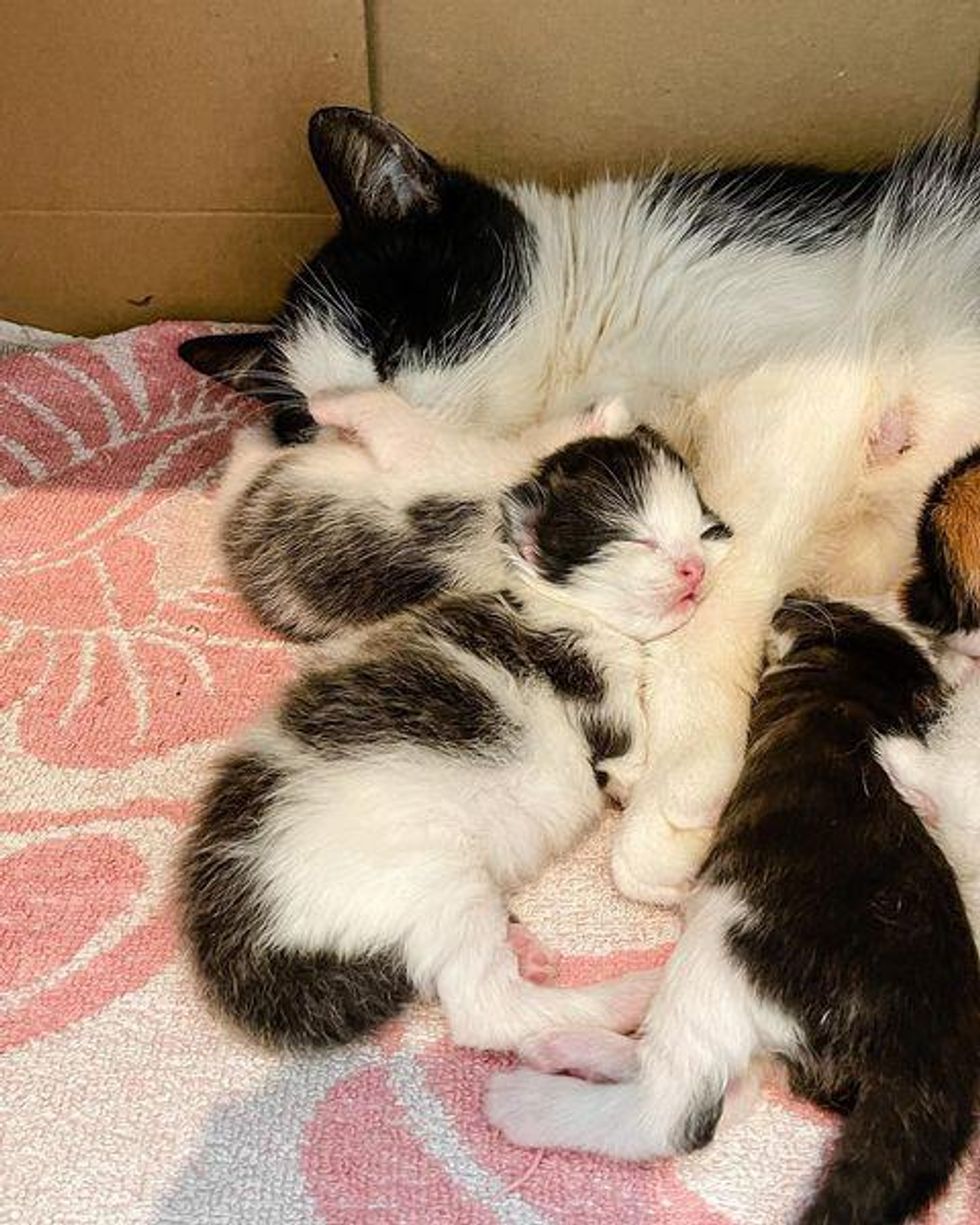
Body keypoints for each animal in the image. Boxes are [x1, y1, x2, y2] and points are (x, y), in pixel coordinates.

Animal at [183, 411, 735, 1053]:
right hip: (431, 877)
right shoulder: (601, 695)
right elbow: (637, 765)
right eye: (637, 539)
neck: (550, 604)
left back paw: (526, 947)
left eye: (702, 528)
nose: (693, 567)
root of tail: (246, 942)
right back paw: (629, 996)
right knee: (487, 1010)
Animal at [485, 595, 980, 1225]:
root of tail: (924, 1062)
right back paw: (568, 1048)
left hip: (722, 955)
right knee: (724, 1092)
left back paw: (526, 1103)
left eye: (828, 608)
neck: (861, 686)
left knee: (676, 1113)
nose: (794, 597)